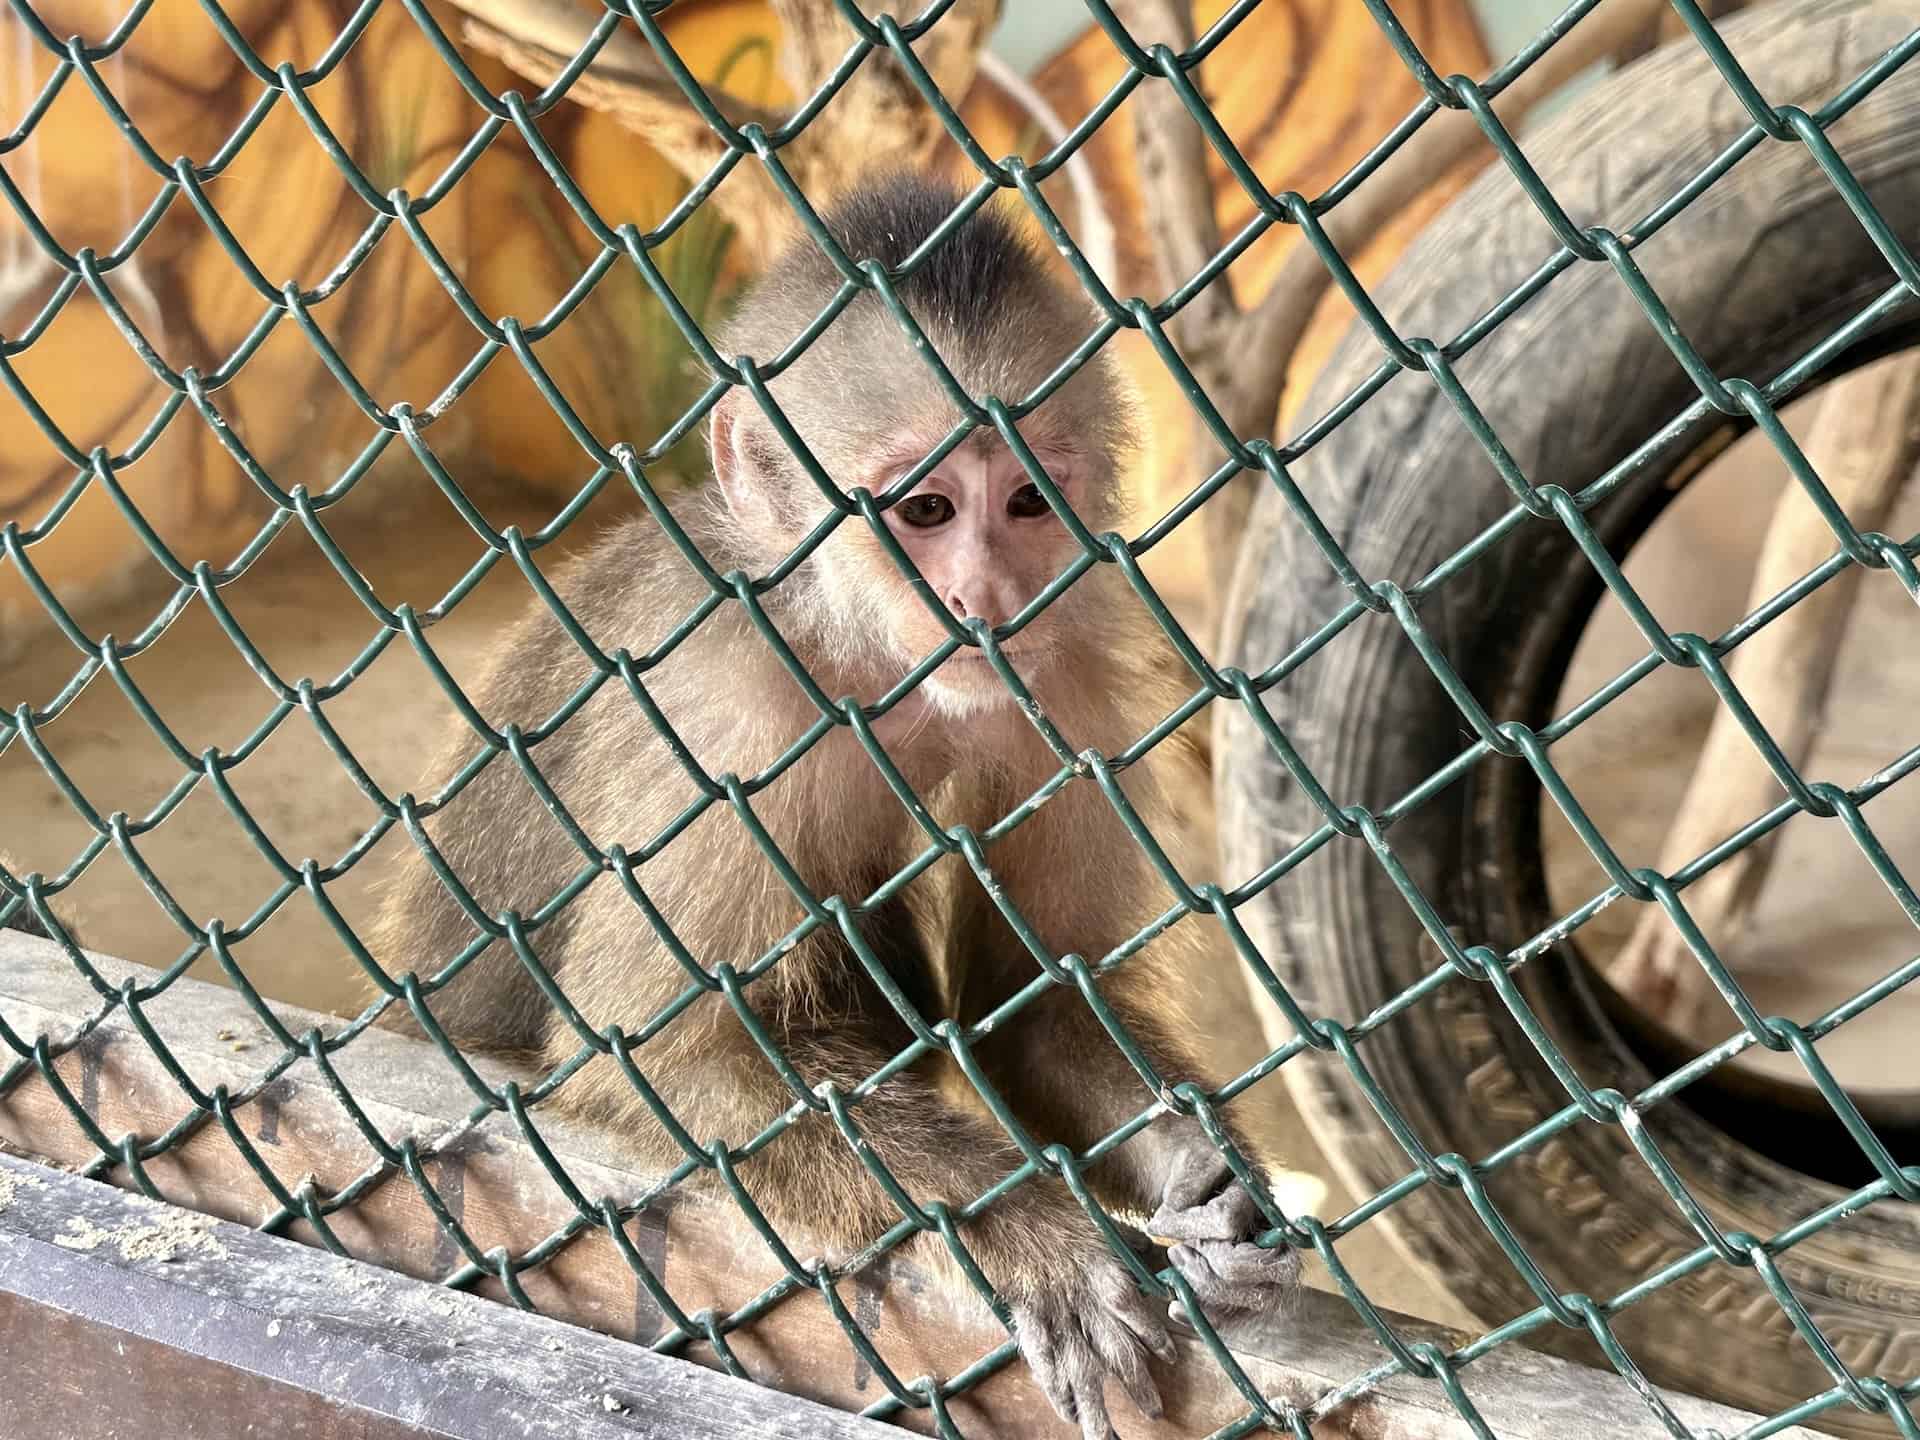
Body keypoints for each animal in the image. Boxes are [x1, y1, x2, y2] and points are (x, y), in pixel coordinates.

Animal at [370, 174, 1305, 1436]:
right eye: (924, 509)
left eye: (1028, 499)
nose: (984, 594)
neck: (855, 655)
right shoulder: (722, 712)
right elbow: (660, 1050)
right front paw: (1031, 1229)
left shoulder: (1063, 680)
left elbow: (1028, 1004)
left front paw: (1209, 1183)